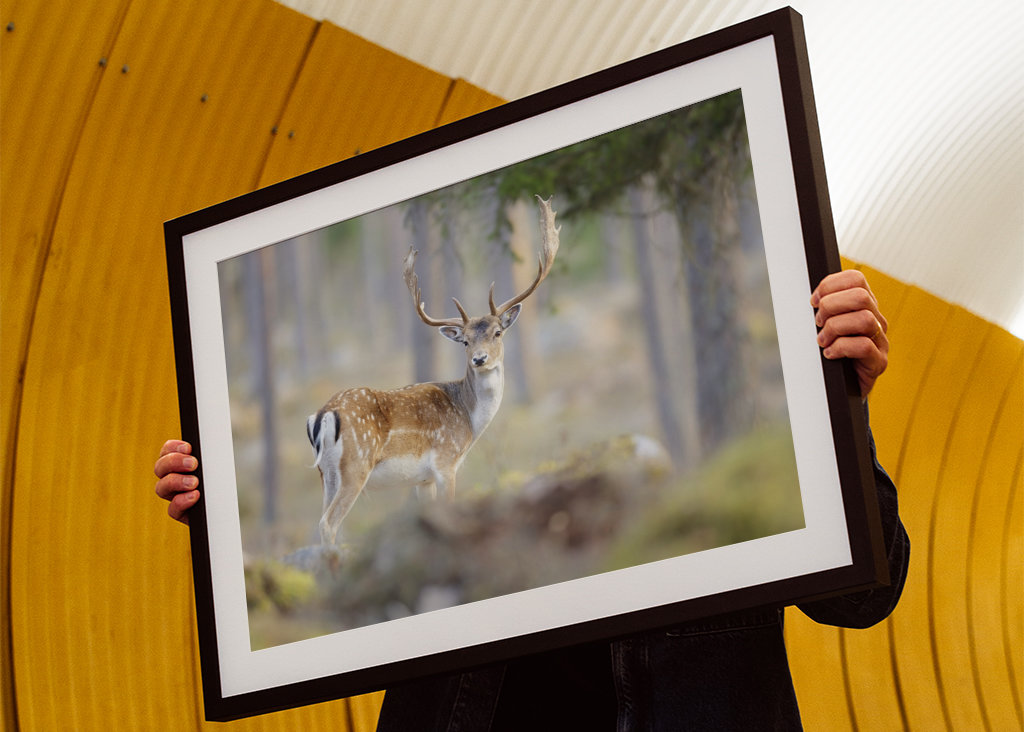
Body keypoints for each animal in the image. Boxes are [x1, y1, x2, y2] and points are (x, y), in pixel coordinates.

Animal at [306, 195, 560, 547]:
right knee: (327, 524)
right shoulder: (445, 462)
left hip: (325, 474)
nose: (479, 359)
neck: (469, 421)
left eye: (497, 332)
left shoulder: (422, 479)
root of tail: (322, 415)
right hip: (355, 466)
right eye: (465, 341)